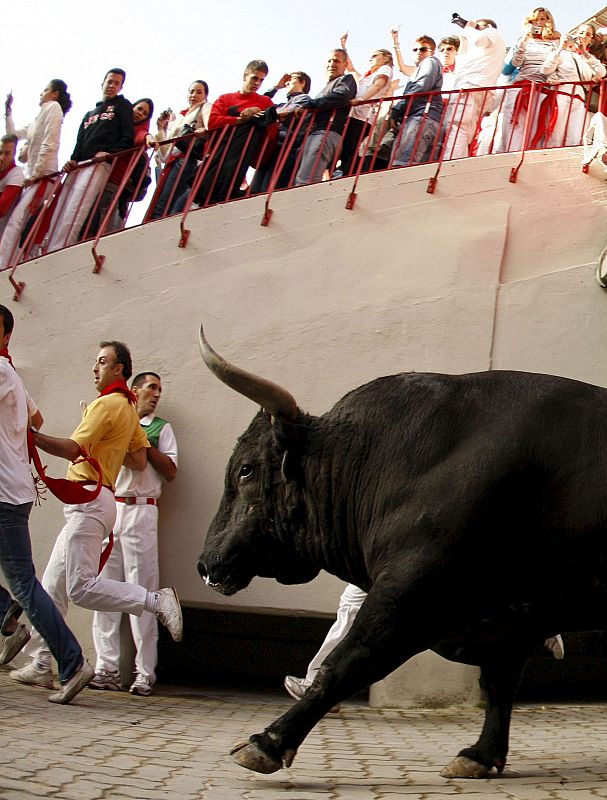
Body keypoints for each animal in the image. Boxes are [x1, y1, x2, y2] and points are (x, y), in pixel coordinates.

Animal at [197, 324, 607, 780]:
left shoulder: (407, 595)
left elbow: (346, 662)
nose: (205, 563)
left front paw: (267, 741)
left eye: (246, 469)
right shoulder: (513, 616)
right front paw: (480, 755)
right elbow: (498, 684)